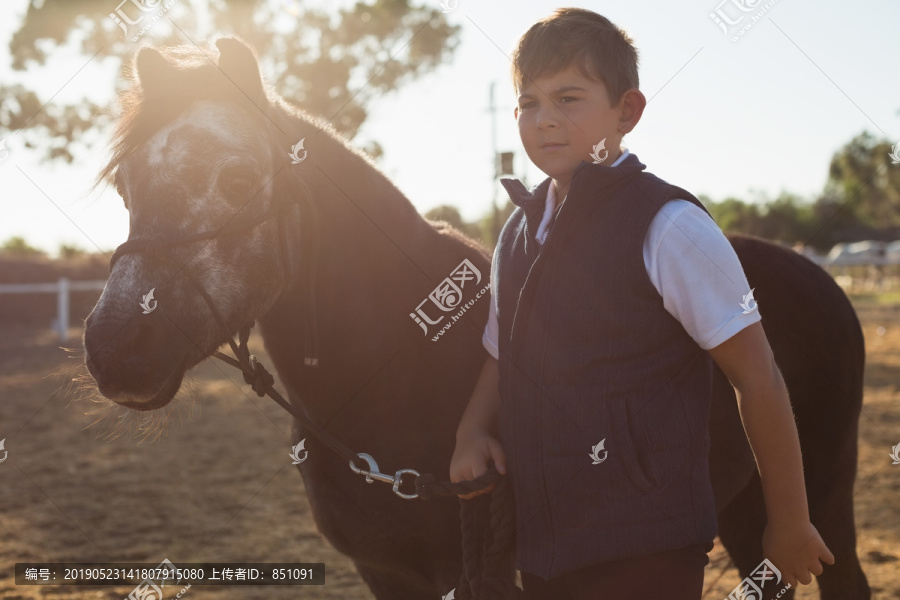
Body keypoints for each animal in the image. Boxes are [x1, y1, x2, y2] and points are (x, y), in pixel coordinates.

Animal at [82, 38, 864, 600]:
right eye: (125, 187)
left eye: (240, 179)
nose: (116, 348)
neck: (397, 378)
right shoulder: (390, 576)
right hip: (744, 507)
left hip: (820, 498)